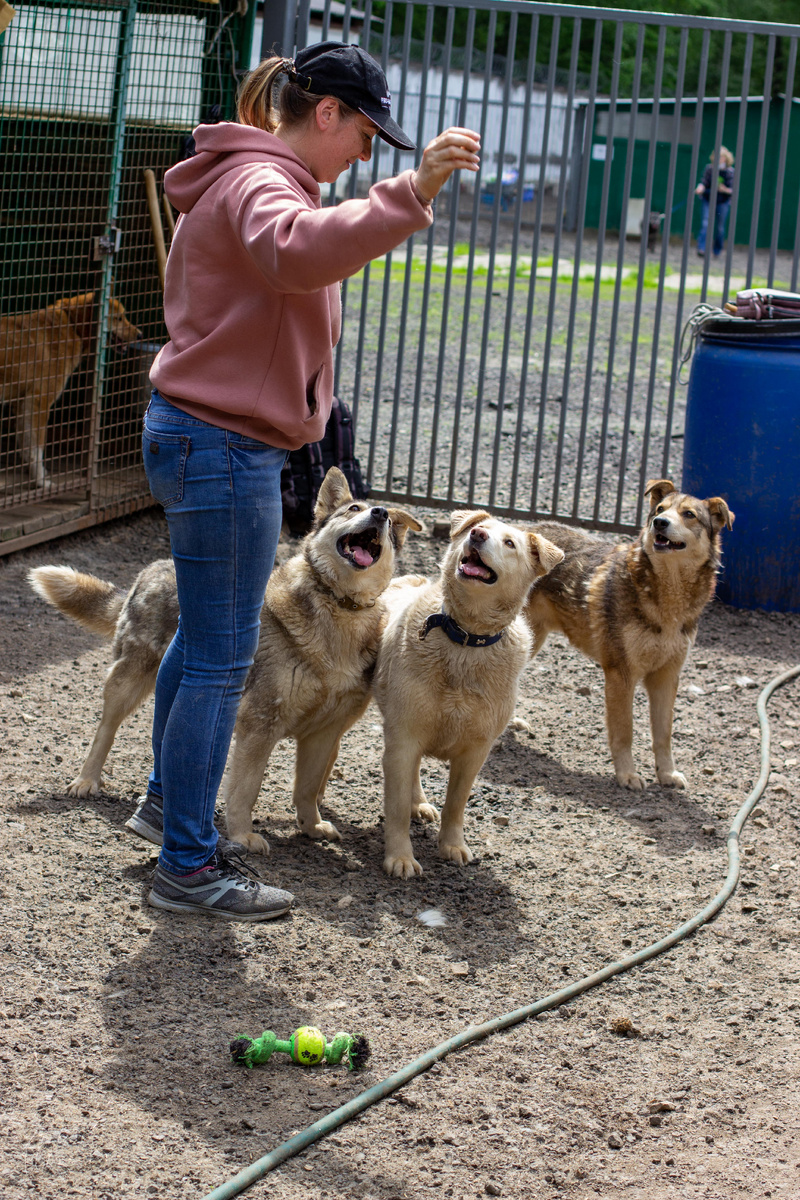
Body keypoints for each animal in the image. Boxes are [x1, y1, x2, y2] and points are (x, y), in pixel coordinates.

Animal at [0, 292, 140, 484]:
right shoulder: (39, 402)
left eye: (124, 316)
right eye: (119, 318)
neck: (73, 325)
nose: (140, 335)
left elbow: (26, 444)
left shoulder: (22, 404)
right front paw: (40, 481)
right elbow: (37, 447)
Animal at [374, 511, 563, 878]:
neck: (464, 638)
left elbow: (456, 804)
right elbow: (397, 807)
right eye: (480, 529)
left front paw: (452, 846)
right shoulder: (404, 735)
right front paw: (400, 857)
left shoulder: (476, 750)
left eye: (509, 543)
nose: (476, 534)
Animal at [522, 472, 734, 792]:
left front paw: (667, 773)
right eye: (660, 509)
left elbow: (663, 735)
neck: (666, 599)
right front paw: (627, 775)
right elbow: (625, 731)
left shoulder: (666, 677)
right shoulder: (621, 674)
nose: (660, 523)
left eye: (689, 515)